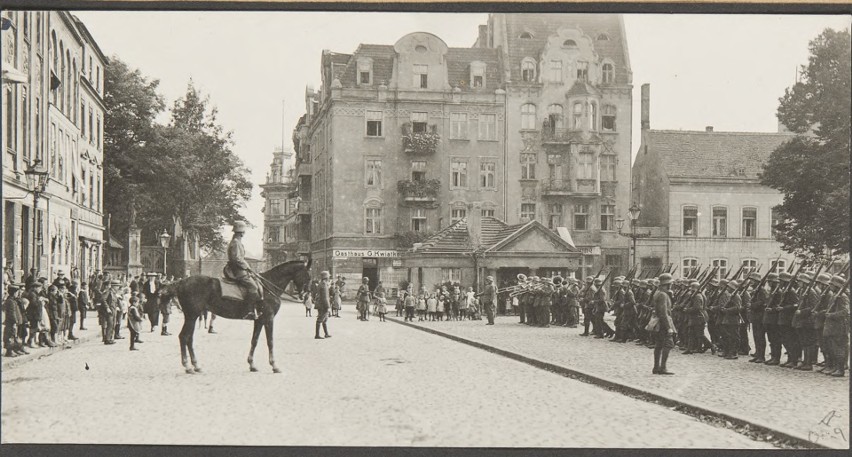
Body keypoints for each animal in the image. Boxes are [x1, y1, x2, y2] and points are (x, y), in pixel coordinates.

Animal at [156, 260, 310, 374]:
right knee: (184, 337)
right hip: (191, 316)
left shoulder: (259, 320)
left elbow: (254, 341)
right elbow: (270, 341)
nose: (305, 295)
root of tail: (181, 282)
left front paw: (252, 364)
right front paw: (274, 366)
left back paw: (196, 365)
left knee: (189, 338)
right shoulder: (269, 319)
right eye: (307, 275)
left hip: (192, 317)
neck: (267, 286)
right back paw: (188, 367)